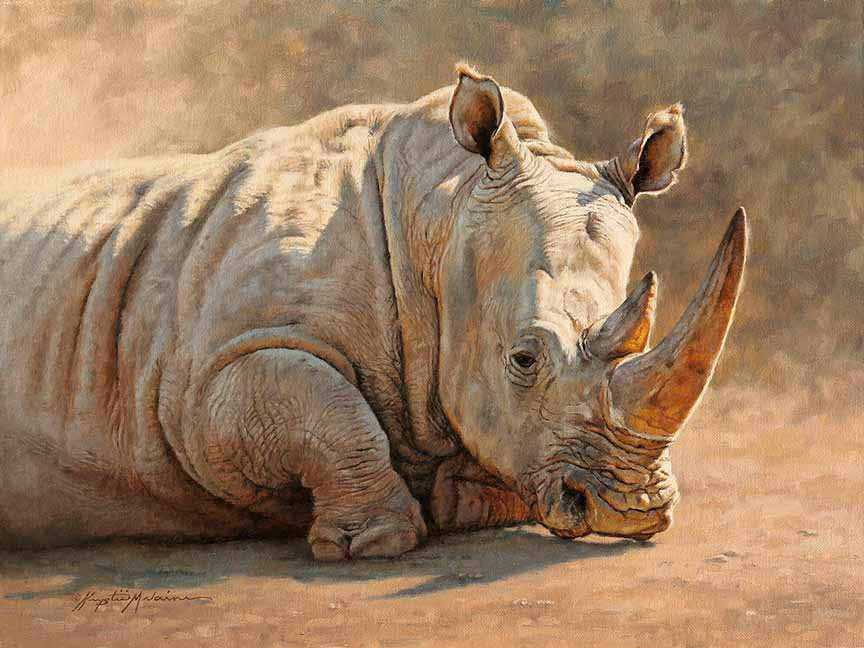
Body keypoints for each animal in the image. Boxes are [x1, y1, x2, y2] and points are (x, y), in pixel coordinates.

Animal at [0, 65, 746, 559]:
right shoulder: (203, 381)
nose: (628, 509)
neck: (436, 219)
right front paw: (377, 542)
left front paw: (463, 501)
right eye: (523, 359)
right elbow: (321, 405)